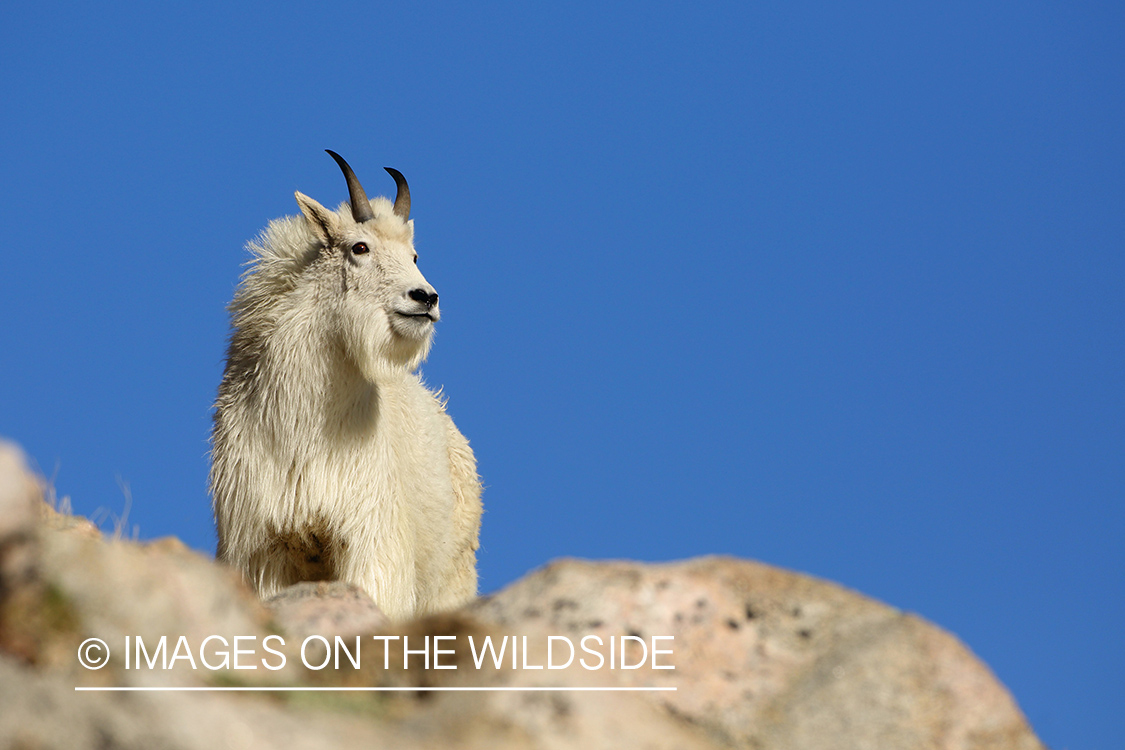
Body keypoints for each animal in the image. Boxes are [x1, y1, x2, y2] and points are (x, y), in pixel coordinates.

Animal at [209, 151, 481, 620]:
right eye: (360, 247)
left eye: (413, 254)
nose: (425, 299)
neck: (303, 425)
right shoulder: (266, 547)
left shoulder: (370, 538)